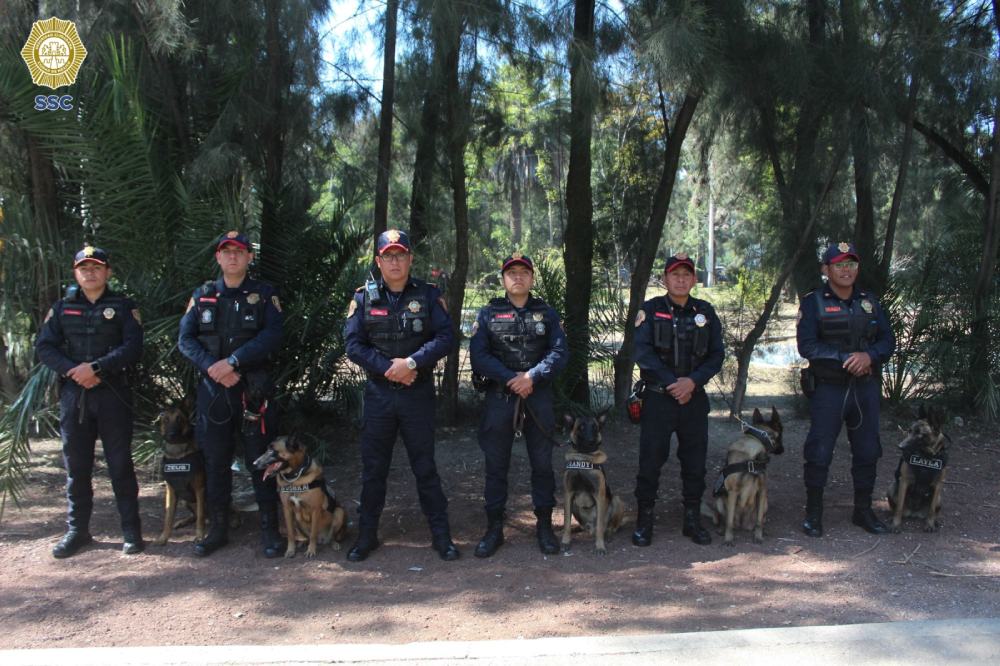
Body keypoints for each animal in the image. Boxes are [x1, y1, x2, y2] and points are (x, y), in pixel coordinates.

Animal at [151, 400, 206, 544]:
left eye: (179, 419)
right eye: (165, 420)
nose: (172, 435)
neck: (177, 454)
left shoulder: (200, 489)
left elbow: (201, 516)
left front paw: (200, 536)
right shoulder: (170, 490)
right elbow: (168, 516)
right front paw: (163, 537)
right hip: (186, 501)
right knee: (195, 516)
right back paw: (182, 522)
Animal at [560, 416, 620, 548]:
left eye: (595, 427)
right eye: (581, 427)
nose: (591, 440)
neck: (584, 456)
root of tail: (590, 528)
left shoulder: (599, 495)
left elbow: (600, 526)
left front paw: (600, 546)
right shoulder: (568, 494)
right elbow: (567, 522)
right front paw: (566, 540)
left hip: (617, 500)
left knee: (610, 527)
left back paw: (608, 534)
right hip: (574, 506)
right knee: (581, 526)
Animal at [708, 404, 784, 544]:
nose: (782, 450)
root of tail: (743, 525)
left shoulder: (762, 490)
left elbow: (759, 521)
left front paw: (758, 536)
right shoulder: (733, 491)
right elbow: (729, 522)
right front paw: (728, 539)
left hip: (765, 503)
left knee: (760, 520)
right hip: (719, 501)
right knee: (723, 520)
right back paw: (721, 530)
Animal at [888, 402, 948, 532]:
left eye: (919, 434)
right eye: (909, 431)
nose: (900, 446)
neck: (927, 456)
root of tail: (915, 513)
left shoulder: (938, 484)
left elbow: (931, 510)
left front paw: (929, 524)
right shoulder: (904, 481)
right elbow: (899, 507)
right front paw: (895, 524)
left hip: (939, 498)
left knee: (933, 510)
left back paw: (935, 521)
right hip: (892, 488)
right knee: (896, 507)